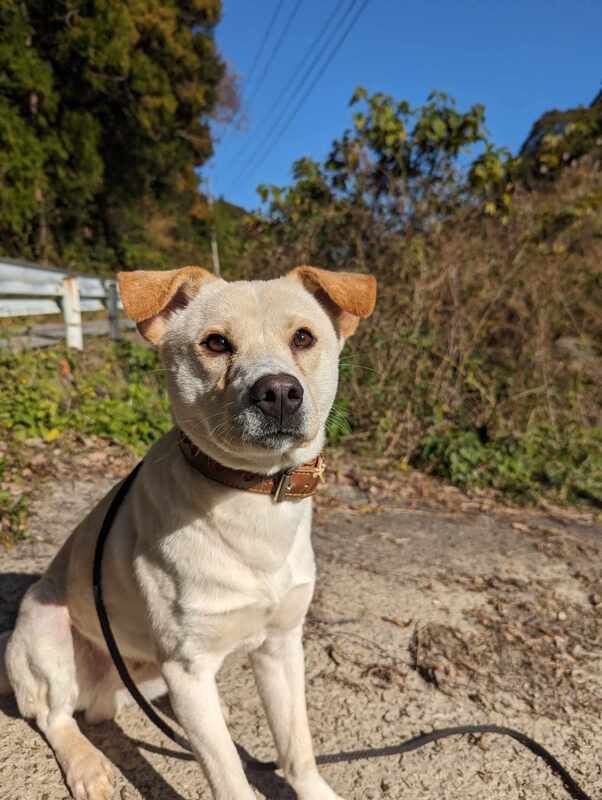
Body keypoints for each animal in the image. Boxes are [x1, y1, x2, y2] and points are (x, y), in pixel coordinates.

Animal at [0, 268, 376, 800]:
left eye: (304, 338)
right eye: (216, 343)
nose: (280, 392)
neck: (251, 497)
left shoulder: (281, 646)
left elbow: (296, 746)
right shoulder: (188, 667)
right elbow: (230, 777)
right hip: (45, 629)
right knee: (55, 717)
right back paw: (86, 764)